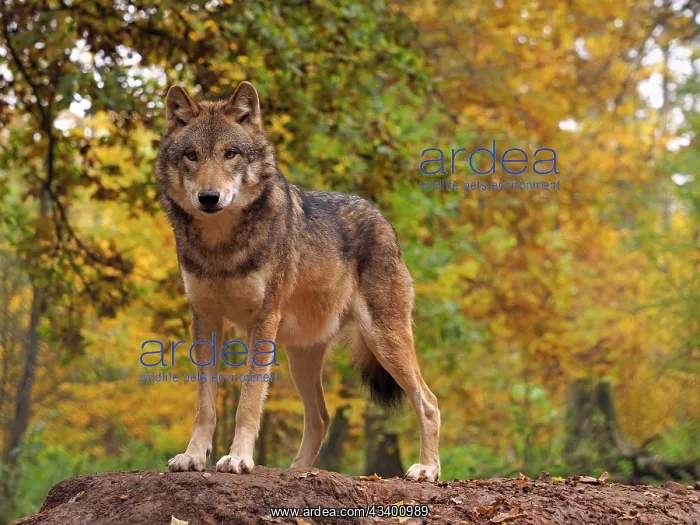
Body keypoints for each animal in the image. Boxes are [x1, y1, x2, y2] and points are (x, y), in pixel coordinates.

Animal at [155, 81, 441, 481]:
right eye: (192, 156)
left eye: (230, 154)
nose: (209, 198)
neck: (221, 245)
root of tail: (385, 220)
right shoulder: (205, 320)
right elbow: (205, 405)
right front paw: (193, 456)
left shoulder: (263, 321)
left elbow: (248, 400)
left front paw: (238, 458)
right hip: (301, 356)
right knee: (321, 418)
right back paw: (297, 471)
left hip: (384, 340)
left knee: (428, 401)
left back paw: (427, 468)